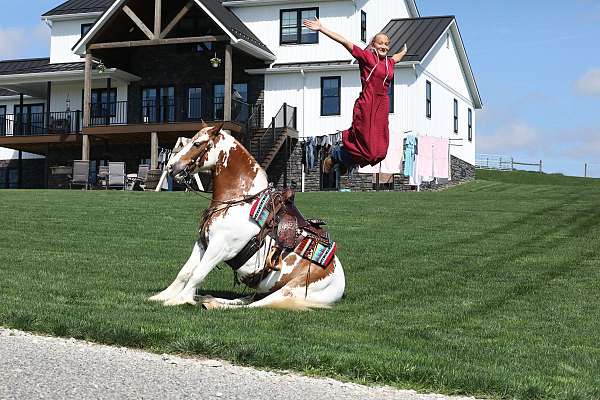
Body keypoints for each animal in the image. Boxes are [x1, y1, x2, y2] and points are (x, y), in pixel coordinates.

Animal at [149, 125, 346, 310]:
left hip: (287, 292)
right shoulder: (202, 244)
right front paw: (163, 296)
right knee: (245, 300)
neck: (239, 199)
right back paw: (209, 299)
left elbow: (198, 273)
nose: (171, 167)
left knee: (253, 305)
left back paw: (213, 304)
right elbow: (185, 272)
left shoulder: (219, 248)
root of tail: (340, 284)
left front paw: (180, 299)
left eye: (197, 144)